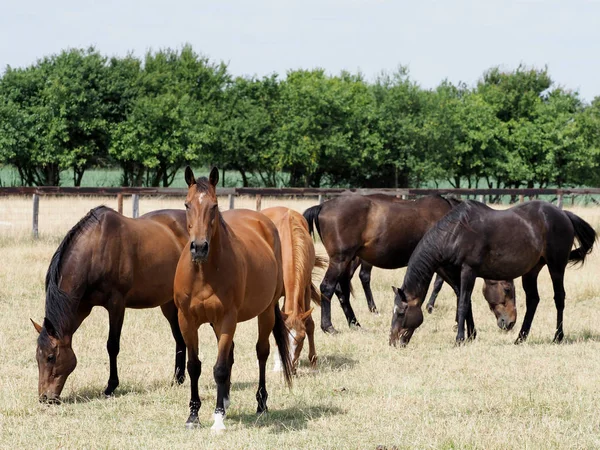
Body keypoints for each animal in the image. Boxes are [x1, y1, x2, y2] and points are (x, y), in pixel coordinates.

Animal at [30, 206, 189, 402]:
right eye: (37, 357)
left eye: (51, 357)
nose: (45, 397)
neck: (96, 250)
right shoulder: (82, 307)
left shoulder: (116, 304)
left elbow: (112, 345)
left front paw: (111, 386)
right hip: (168, 303)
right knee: (179, 337)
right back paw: (178, 379)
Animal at [173, 168, 292, 432]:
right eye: (186, 204)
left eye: (214, 206)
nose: (199, 247)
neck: (203, 274)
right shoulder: (187, 321)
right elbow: (194, 366)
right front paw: (193, 416)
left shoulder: (228, 319)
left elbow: (219, 368)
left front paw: (217, 419)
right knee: (231, 356)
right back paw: (226, 402)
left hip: (265, 313)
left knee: (261, 352)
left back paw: (261, 404)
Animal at [260, 207, 326, 372]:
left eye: (301, 338)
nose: (290, 367)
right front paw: (278, 364)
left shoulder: (305, 288)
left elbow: (310, 324)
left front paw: (313, 360)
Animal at [304, 193, 516, 334]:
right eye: (507, 289)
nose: (510, 322)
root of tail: (324, 206)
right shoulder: (443, 265)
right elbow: (458, 291)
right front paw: (462, 325)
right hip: (341, 259)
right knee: (328, 287)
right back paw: (329, 327)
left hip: (347, 260)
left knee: (342, 290)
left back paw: (355, 323)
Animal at [390, 199, 596, 346]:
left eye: (400, 313)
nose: (393, 341)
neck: (455, 232)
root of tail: (564, 214)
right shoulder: (454, 273)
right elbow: (465, 301)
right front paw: (470, 335)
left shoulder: (468, 270)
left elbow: (463, 303)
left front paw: (459, 339)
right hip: (531, 270)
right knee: (533, 300)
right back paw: (520, 338)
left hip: (556, 266)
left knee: (559, 297)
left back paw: (558, 337)